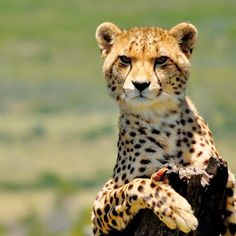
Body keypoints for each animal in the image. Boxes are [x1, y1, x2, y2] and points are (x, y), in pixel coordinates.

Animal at [91, 21, 236, 235]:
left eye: (161, 60)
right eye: (125, 59)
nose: (140, 84)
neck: (159, 117)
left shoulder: (224, 176)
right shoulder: (100, 210)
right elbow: (138, 185)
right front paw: (177, 209)